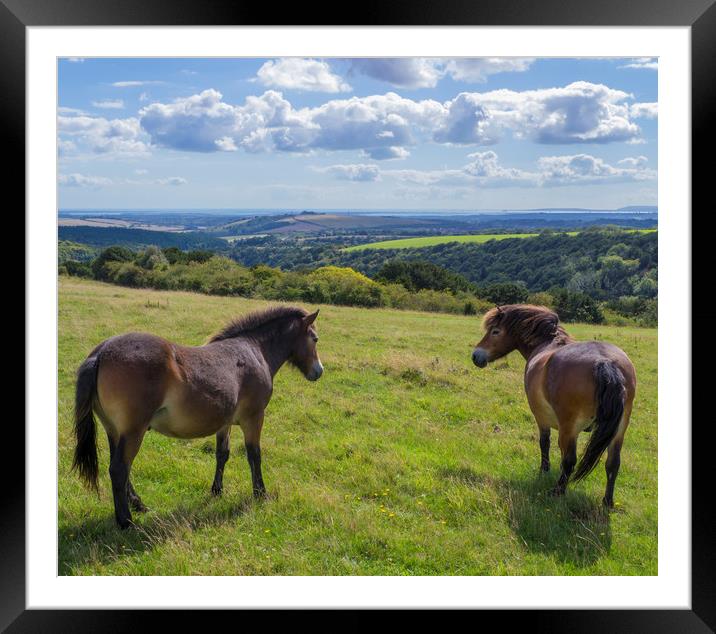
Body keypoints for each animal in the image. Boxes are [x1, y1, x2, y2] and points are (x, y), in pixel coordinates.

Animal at [71, 304, 324, 524]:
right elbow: (254, 455)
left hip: (114, 430)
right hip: (133, 431)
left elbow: (222, 454)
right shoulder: (254, 418)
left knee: (121, 468)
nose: (318, 371)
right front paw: (260, 493)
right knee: (119, 469)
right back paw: (126, 521)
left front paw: (217, 491)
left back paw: (138, 505)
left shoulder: (225, 422)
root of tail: (100, 353)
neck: (254, 350)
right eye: (315, 338)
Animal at [472, 304, 636, 506]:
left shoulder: (541, 418)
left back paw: (557, 491)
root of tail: (604, 362)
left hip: (569, 429)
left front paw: (544, 471)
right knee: (613, 463)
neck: (547, 342)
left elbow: (544, 443)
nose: (476, 355)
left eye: (495, 331)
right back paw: (607, 502)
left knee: (569, 461)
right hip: (619, 430)